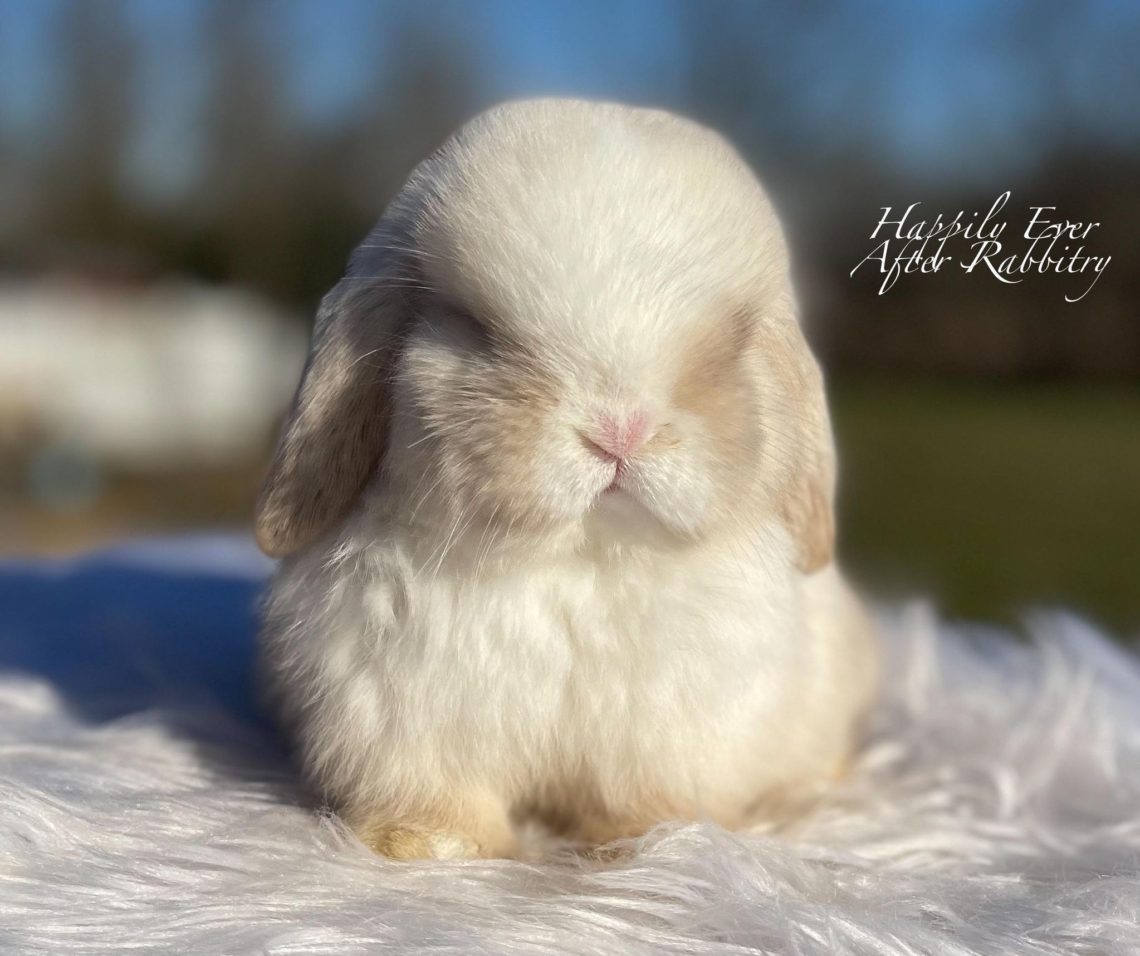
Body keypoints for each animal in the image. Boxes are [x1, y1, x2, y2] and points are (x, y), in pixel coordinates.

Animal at [258, 97, 875, 861]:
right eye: (476, 329)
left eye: (733, 343)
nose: (620, 429)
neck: (576, 559)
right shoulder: (397, 719)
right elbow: (434, 791)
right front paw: (426, 844)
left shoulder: (663, 738)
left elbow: (640, 797)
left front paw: (643, 844)